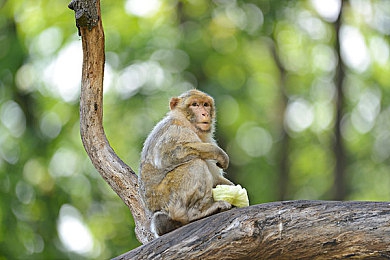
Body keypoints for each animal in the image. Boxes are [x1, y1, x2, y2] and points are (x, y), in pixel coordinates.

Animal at [138, 89, 233, 238]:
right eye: (194, 105)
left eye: (205, 105)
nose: (204, 113)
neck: (187, 122)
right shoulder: (176, 130)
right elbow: (168, 155)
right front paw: (218, 153)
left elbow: (216, 178)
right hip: (170, 201)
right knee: (195, 164)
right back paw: (199, 212)